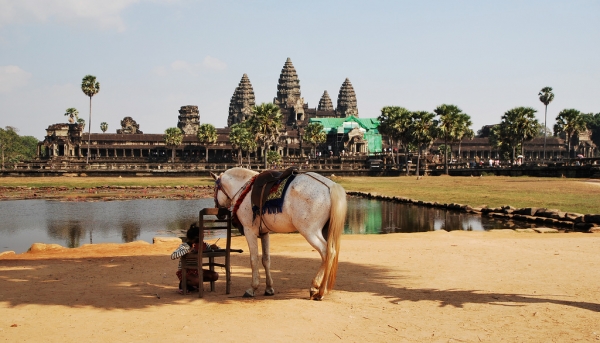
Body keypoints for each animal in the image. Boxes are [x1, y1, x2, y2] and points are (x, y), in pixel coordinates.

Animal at [213, 168, 346, 300]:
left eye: (214, 189)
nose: (219, 214)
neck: (245, 189)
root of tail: (330, 186)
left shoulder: (249, 230)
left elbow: (253, 259)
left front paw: (252, 288)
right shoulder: (264, 233)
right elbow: (266, 260)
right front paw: (269, 288)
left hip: (310, 231)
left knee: (327, 252)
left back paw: (319, 289)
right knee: (330, 253)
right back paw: (320, 288)